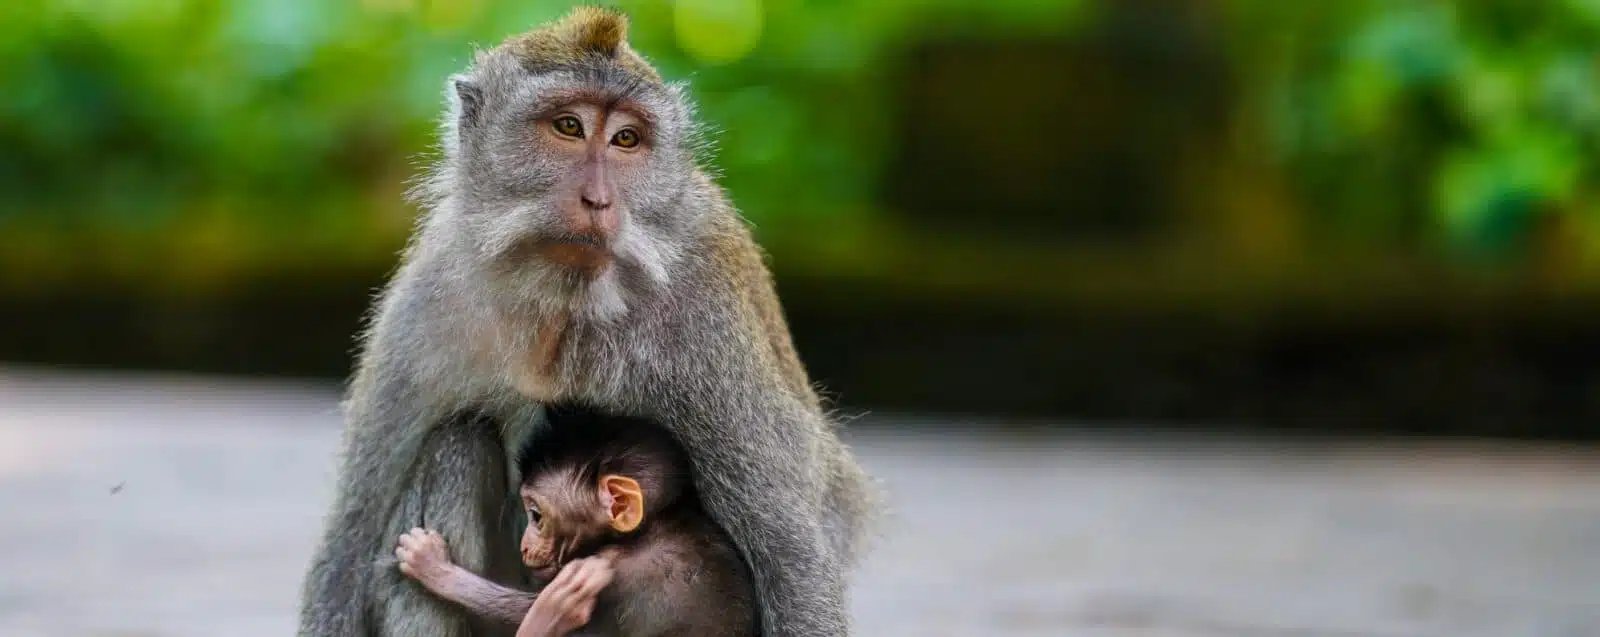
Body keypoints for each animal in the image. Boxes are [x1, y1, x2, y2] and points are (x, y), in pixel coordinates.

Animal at [392, 411, 757, 637]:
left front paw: (435, 568)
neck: (654, 527)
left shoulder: (615, 572)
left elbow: (521, 612)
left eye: (537, 516)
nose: (524, 545)